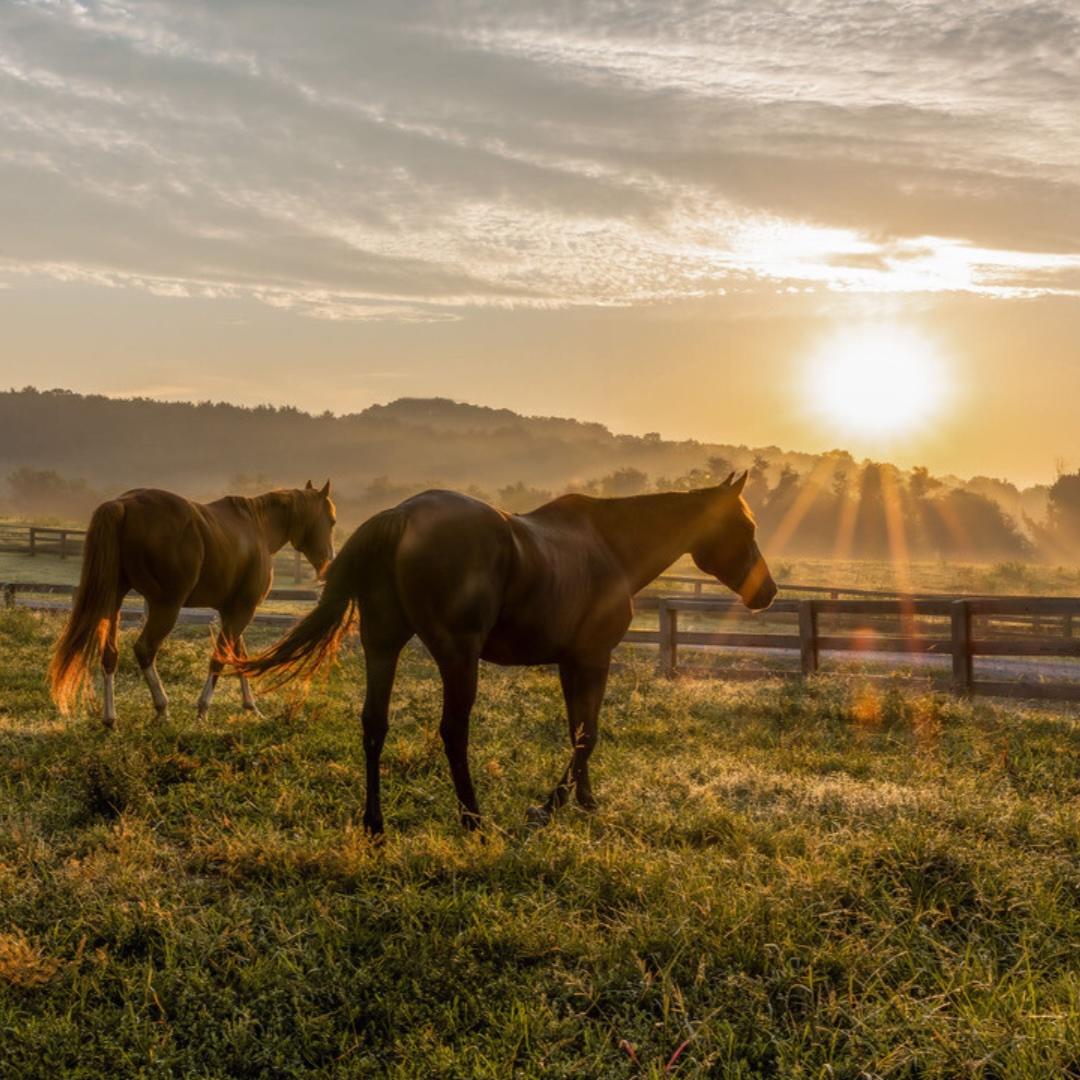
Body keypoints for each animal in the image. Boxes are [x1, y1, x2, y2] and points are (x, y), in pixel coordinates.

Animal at [49, 481, 337, 726]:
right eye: (332, 521)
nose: (328, 563)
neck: (259, 529)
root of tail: (123, 504)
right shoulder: (244, 610)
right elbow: (220, 657)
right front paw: (203, 710)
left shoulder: (232, 610)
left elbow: (238, 655)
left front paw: (251, 707)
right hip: (166, 607)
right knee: (145, 649)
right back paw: (162, 709)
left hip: (114, 601)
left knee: (110, 654)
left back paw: (110, 719)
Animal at [237, 472, 775, 834]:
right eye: (746, 529)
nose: (767, 592)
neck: (609, 545)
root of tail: (403, 516)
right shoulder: (593, 657)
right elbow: (588, 734)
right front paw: (551, 807)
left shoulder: (569, 662)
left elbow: (577, 730)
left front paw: (582, 801)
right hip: (457, 658)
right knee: (453, 732)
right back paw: (473, 819)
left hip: (382, 644)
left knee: (374, 723)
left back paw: (375, 822)